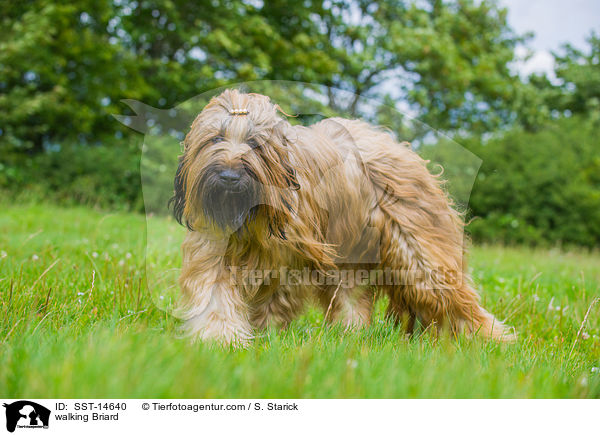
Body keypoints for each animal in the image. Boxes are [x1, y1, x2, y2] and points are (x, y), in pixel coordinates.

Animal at [170, 90, 516, 346]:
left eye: (255, 144)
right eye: (216, 139)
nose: (229, 177)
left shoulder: (290, 256)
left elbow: (273, 299)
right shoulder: (215, 244)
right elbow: (214, 291)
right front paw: (220, 339)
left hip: (418, 250)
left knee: (451, 295)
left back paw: (491, 338)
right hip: (353, 250)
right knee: (354, 296)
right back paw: (351, 334)